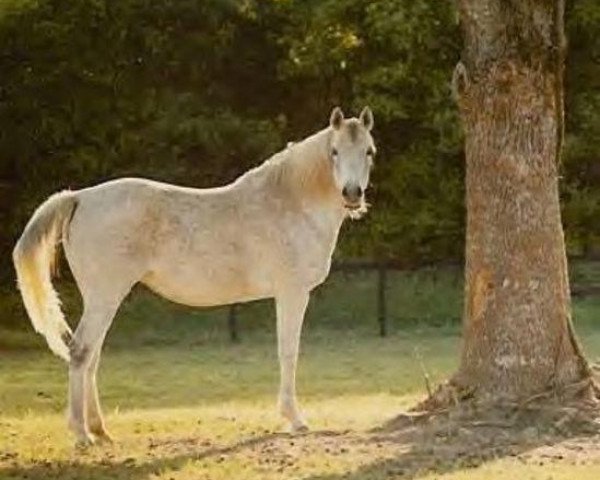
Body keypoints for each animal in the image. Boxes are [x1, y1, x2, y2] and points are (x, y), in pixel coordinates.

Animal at [12, 107, 376, 444]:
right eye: (334, 151)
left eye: (369, 151)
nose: (352, 194)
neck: (292, 202)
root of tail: (79, 197)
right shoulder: (292, 293)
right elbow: (288, 352)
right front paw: (295, 419)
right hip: (104, 298)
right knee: (81, 352)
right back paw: (81, 434)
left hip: (102, 300)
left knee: (91, 356)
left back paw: (100, 430)